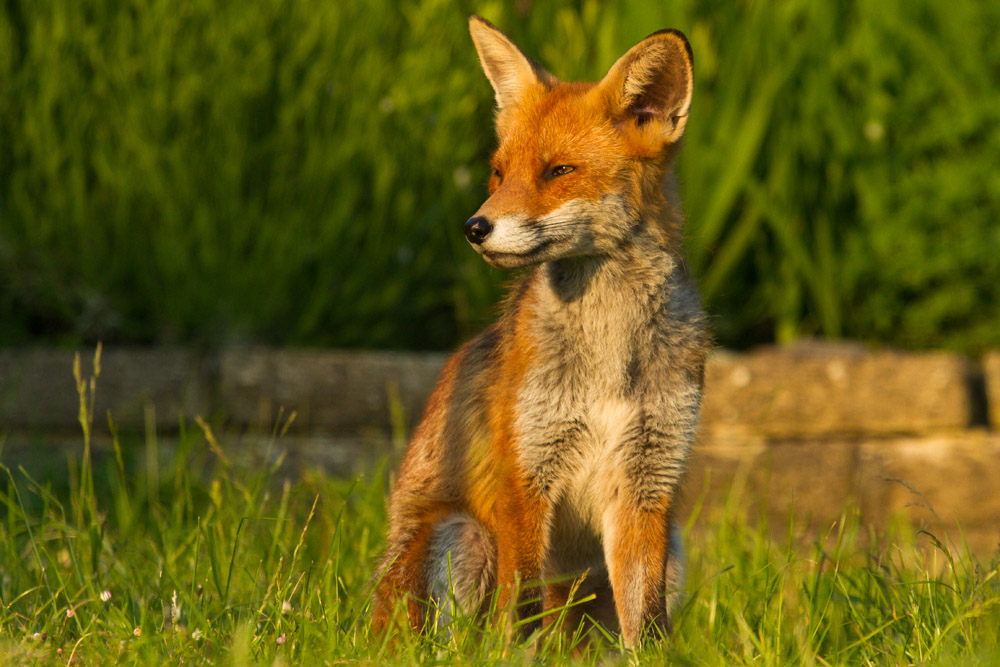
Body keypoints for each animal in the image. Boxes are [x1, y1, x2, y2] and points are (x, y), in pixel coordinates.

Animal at [372, 16, 710, 647]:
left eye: (559, 171)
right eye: (499, 172)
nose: (474, 227)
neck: (608, 351)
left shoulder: (647, 486)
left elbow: (646, 625)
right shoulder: (526, 476)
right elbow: (522, 610)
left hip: (672, 546)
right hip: (465, 536)